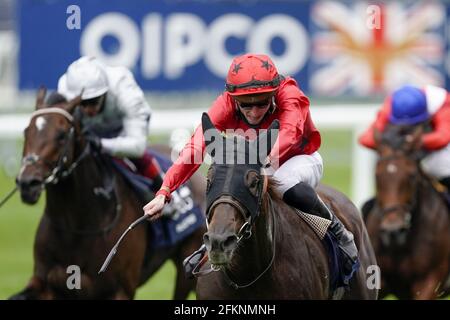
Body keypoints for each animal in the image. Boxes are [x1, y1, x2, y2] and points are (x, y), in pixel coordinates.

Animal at [9, 88, 206, 300]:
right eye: (26, 131)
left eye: (61, 135)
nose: (28, 183)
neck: (77, 229)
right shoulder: (45, 284)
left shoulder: (120, 290)